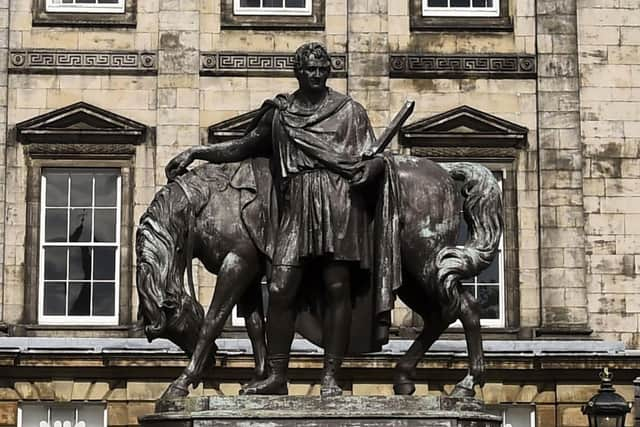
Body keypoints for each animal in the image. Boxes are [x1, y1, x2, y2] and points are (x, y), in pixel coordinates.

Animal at [138, 157, 502, 402]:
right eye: (171, 333)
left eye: (177, 325)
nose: (214, 359)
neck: (206, 203)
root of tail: (444, 172)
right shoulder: (250, 267)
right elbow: (255, 327)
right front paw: (263, 382)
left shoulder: (238, 262)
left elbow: (214, 319)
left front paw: (181, 383)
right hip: (409, 274)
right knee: (441, 314)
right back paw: (403, 377)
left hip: (424, 259)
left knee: (466, 307)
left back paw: (467, 384)